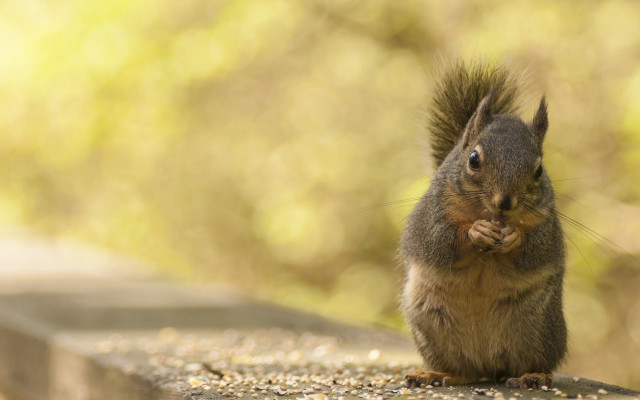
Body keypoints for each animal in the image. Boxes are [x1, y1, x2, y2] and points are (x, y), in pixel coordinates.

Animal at [400, 60, 567, 389]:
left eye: (539, 170)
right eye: (474, 159)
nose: (505, 203)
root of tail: (489, 366)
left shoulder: (548, 227)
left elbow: (535, 249)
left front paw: (513, 237)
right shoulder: (430, 216)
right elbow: (439, 241)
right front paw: (475, 232)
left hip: (539, 326)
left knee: (531, 362)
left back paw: (533, 375)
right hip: (432, 323)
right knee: (462, 370)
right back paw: (436, 374)